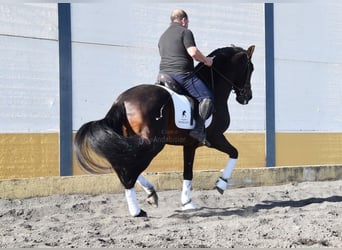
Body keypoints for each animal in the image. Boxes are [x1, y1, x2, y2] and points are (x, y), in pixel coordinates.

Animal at [75, 45, 256, 217]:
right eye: (251, 69)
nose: (247, 97)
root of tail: (122, 100)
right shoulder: (215, 137)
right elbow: (235, 152)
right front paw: (221, 184)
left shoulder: (190, 145)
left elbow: (188, 172)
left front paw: (187, 202)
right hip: (152, 144)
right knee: (128, 171)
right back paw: (137, 211)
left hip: (130, 143)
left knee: (122, 164)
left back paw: (150, 193)